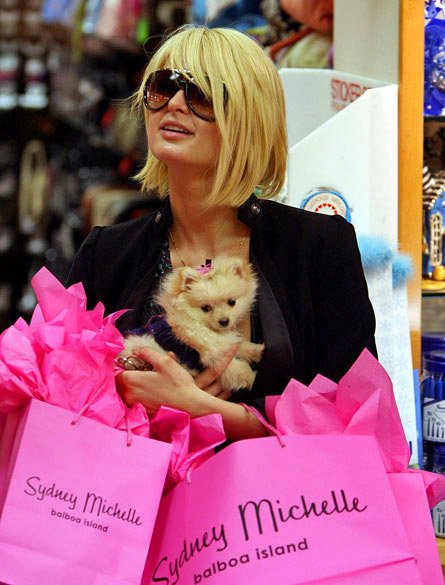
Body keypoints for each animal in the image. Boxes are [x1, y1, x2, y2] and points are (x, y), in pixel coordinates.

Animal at [120, 256, 264, 392]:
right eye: (206, 308)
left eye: (232, 302)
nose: (224, 321)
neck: (200, 323)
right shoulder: (216, 357)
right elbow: (238, 370)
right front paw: (252, 377)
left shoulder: (226, 344)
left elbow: (241, 346)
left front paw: (258, 351)